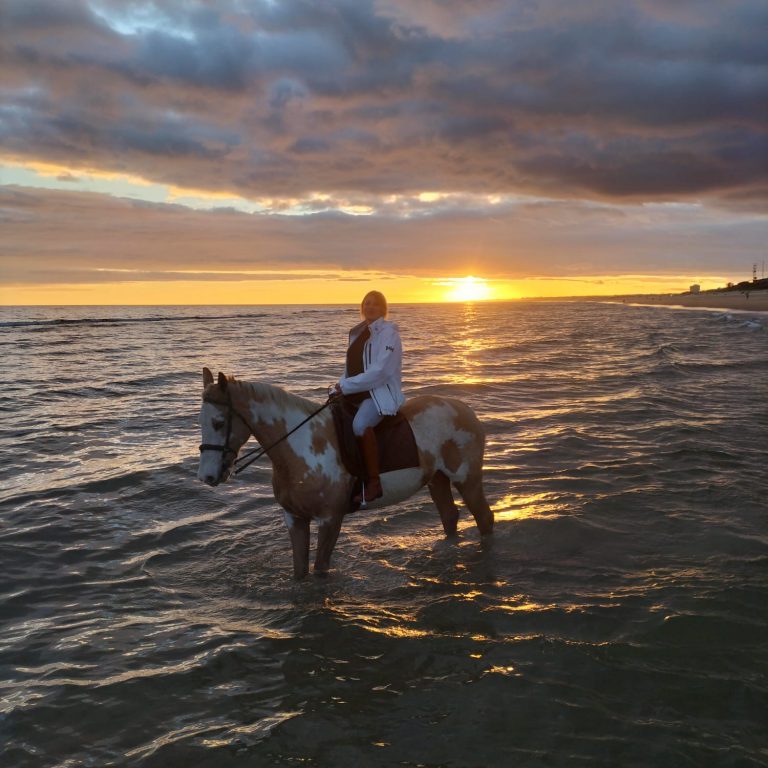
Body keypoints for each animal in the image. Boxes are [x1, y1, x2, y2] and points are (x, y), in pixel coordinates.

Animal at [197, 368, 493, 579]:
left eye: (219, 422)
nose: (206, 477)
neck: (301, 446)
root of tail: (464, 409)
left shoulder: (330, 519)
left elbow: (320, 571)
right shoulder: (294, 518)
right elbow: (299, 572)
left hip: (467, 479)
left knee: (484, 518)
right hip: (437, 479)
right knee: (449, 516)